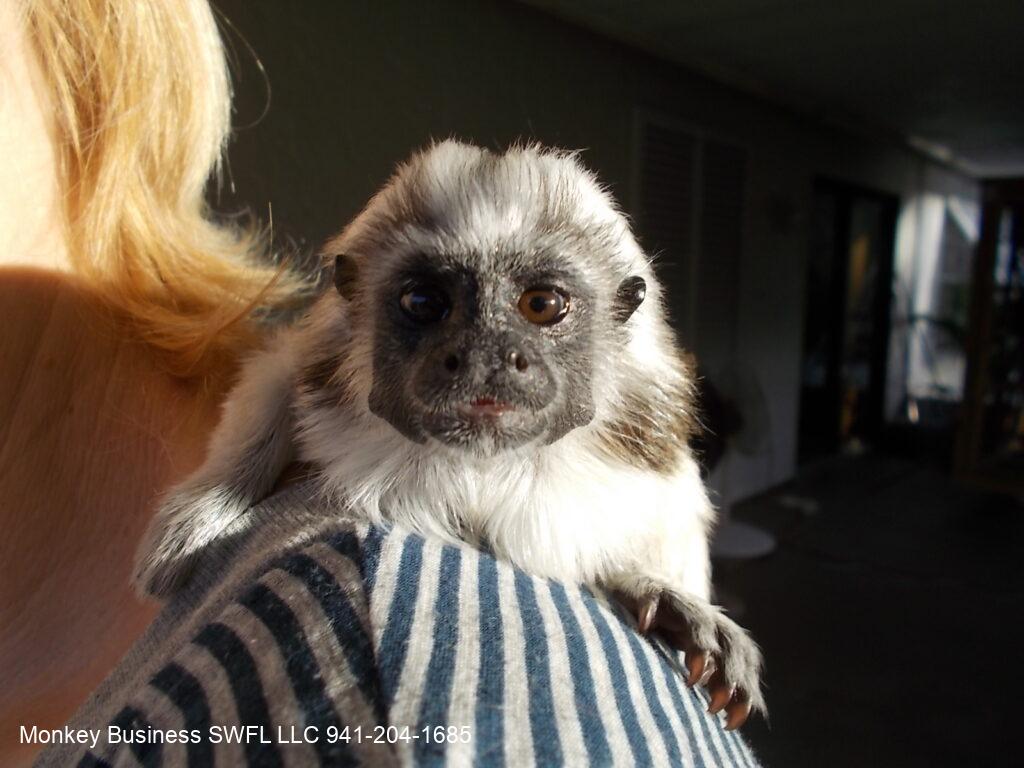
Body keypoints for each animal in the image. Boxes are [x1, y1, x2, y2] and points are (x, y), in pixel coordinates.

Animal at [133, 140, 764, 729]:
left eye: (542, 305)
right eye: (424, 302)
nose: (485, 358)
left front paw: (654, 591)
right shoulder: (313, 366)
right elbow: (273, 381)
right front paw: (209, 509)